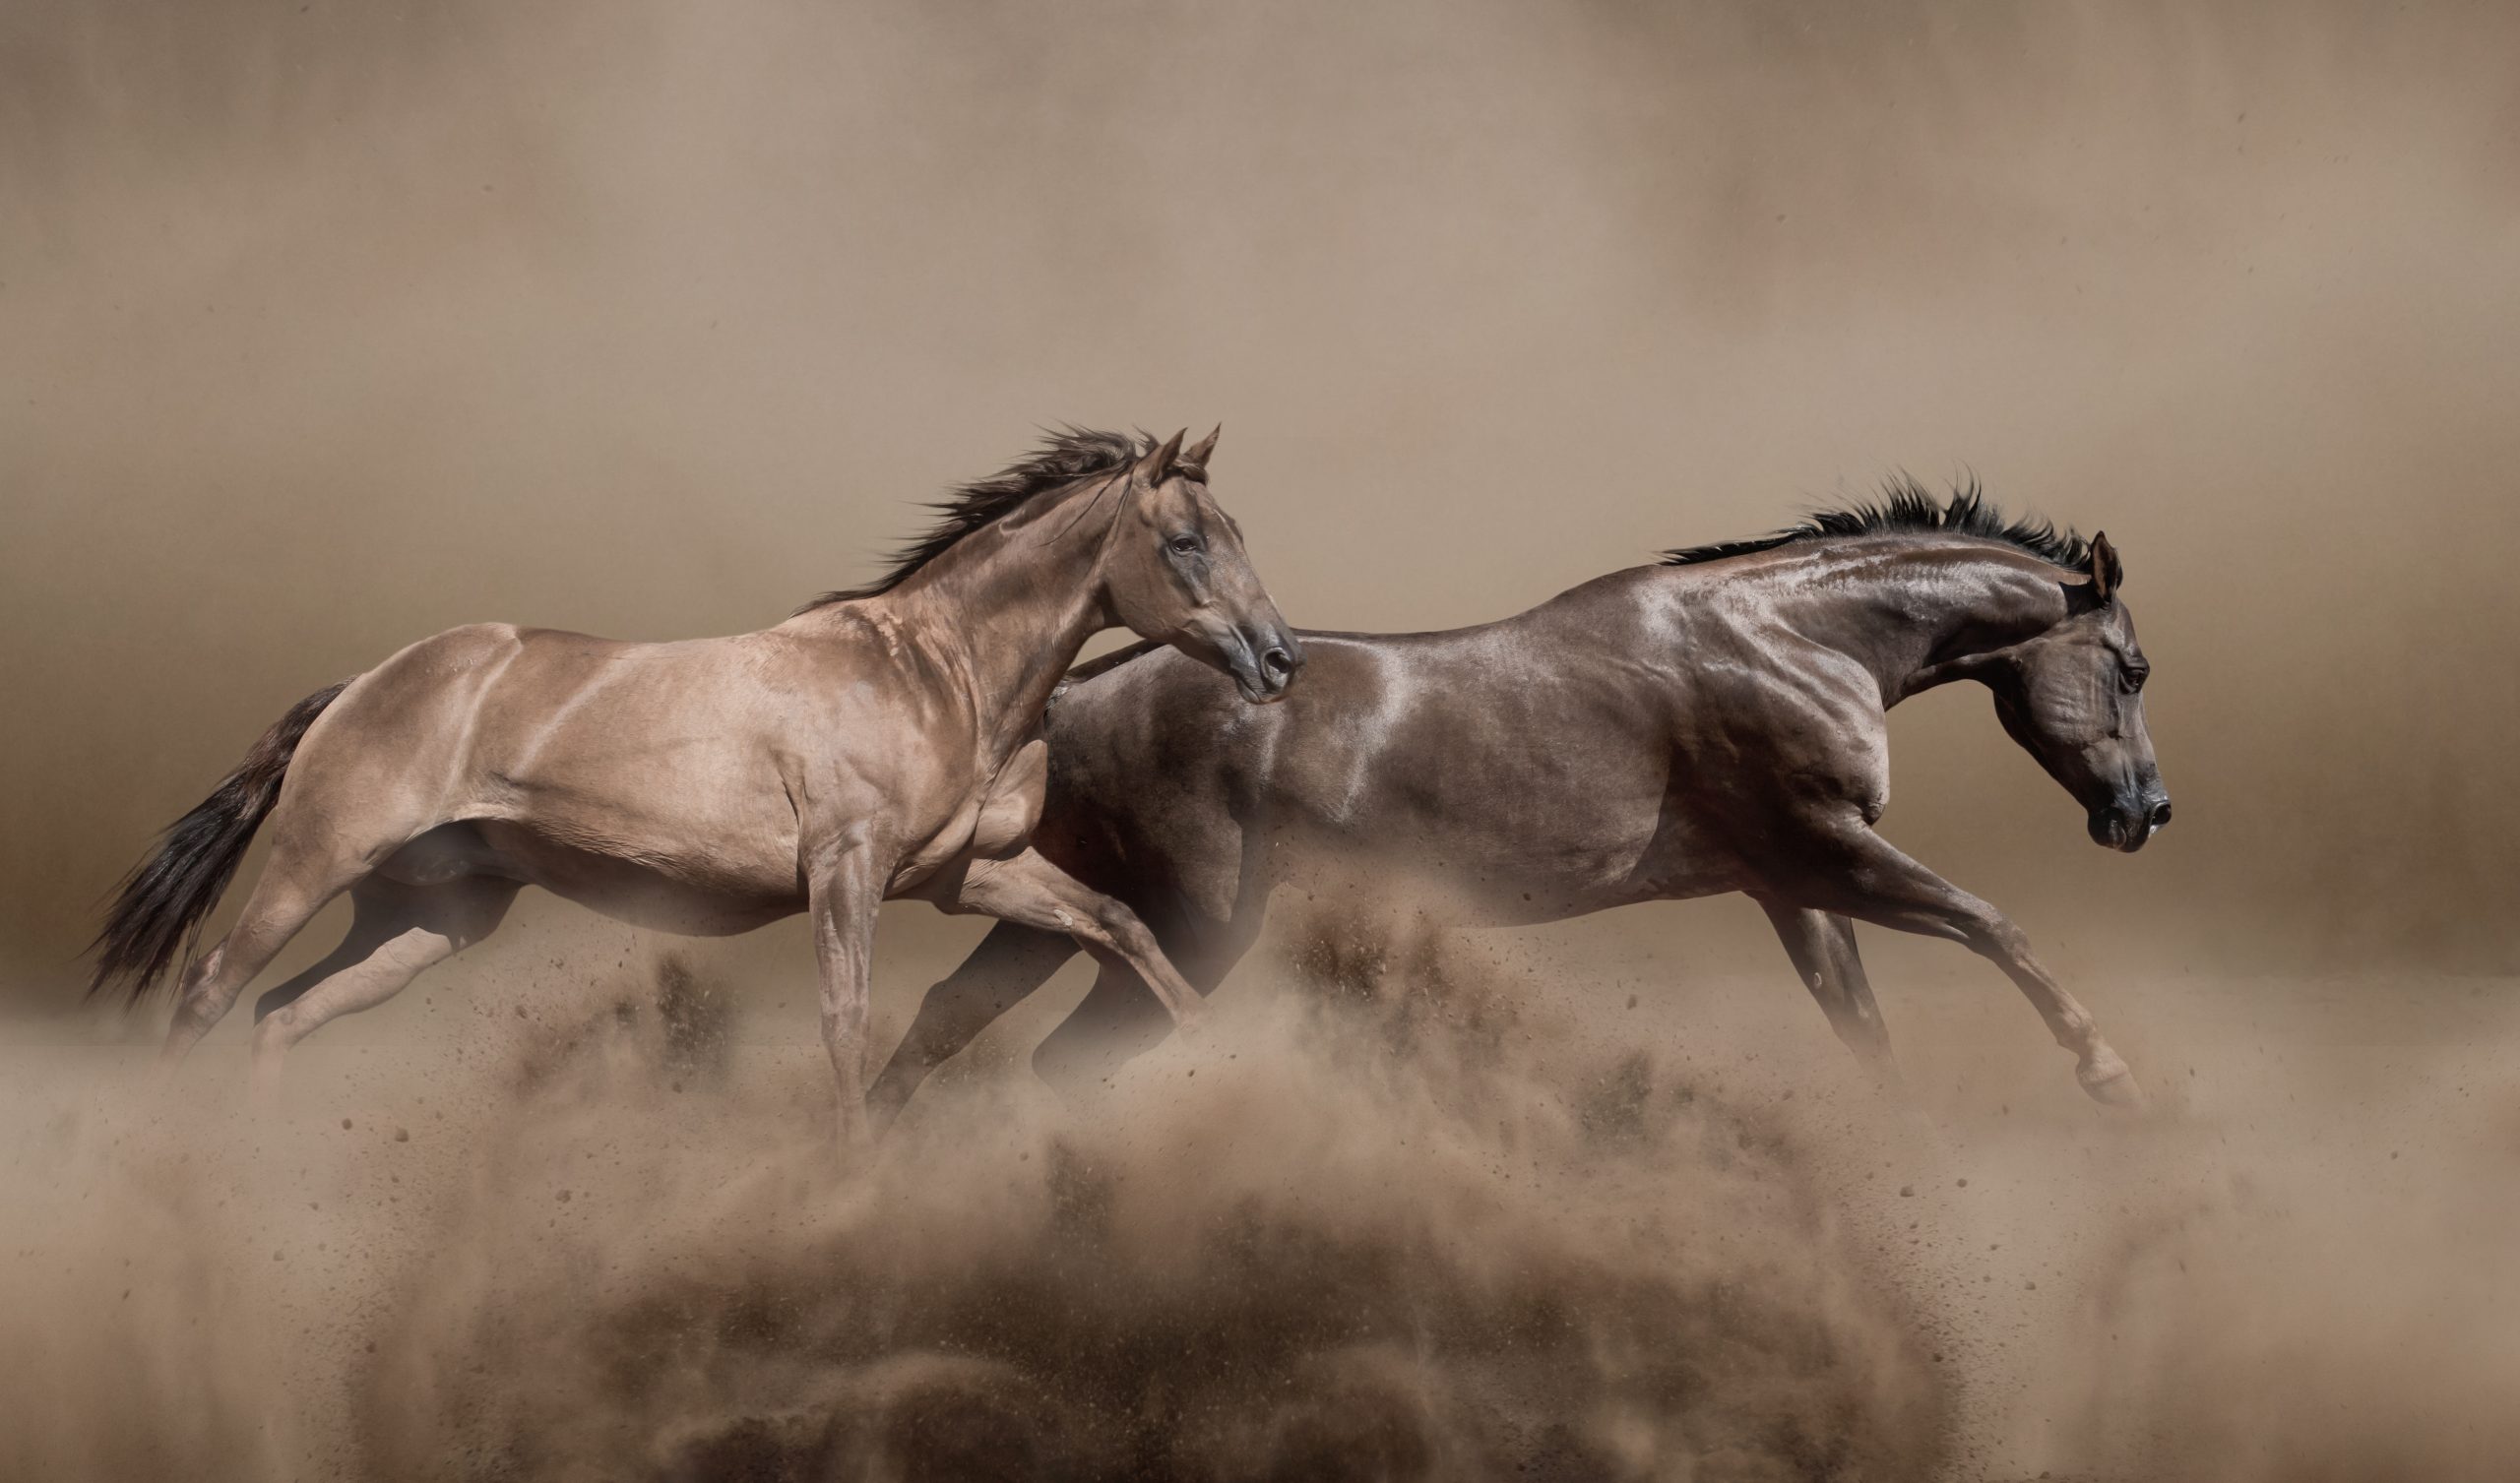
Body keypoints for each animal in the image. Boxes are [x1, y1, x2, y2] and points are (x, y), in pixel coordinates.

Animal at [89, 427, 1310, 1143]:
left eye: (1235, 530)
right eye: (1187, 541)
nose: (1279, 659)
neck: (935, 669)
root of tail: (359, 684)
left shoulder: (969, 873)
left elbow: (1120, 925)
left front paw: (1225, 1060)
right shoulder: (846, 870)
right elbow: (843, 1018)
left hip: (428, 918)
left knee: (281, 1016)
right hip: (314, 864)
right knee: (207, 992)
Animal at [871, 480, 2167, 1118]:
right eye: (2133, 667)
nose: (2144, 813)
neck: (1789, 638)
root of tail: (1074, 694)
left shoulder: (1790, 884)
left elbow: (1863, 1025)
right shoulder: (1823, 852)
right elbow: (1991, 924)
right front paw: (2106, 1072)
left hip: (1075, 914)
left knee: (941, 1019)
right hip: (1190, 928)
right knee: (1061, 1061)